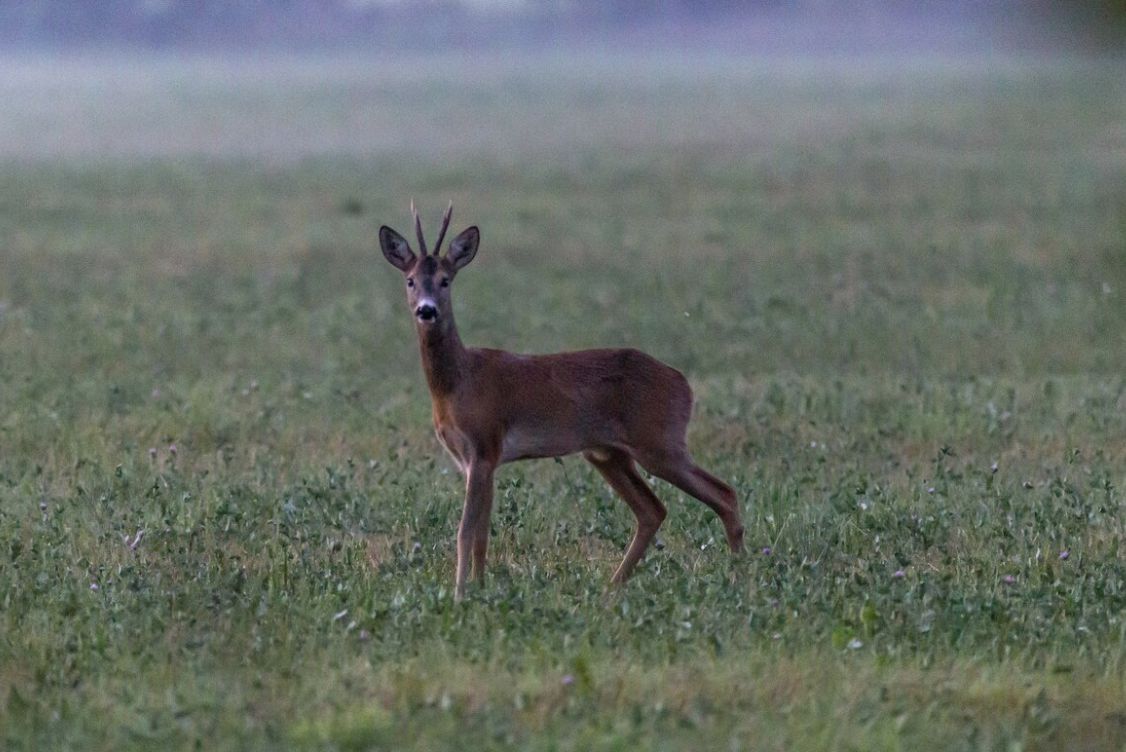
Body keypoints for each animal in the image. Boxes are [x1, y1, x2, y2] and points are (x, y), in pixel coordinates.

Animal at [382, 202, 743, 603]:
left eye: (446, 280)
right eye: (410, 280)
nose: (426, 310)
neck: (458, 382)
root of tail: (684, 384)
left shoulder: (485, 444)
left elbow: (465, 531)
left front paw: (460, 594)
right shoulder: (475, 459)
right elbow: (481, 534)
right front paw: (479, 588)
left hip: (660, 441)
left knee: (724, 494)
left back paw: (740, 577)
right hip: (608, 453)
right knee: (653, 510)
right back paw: (613, 585)